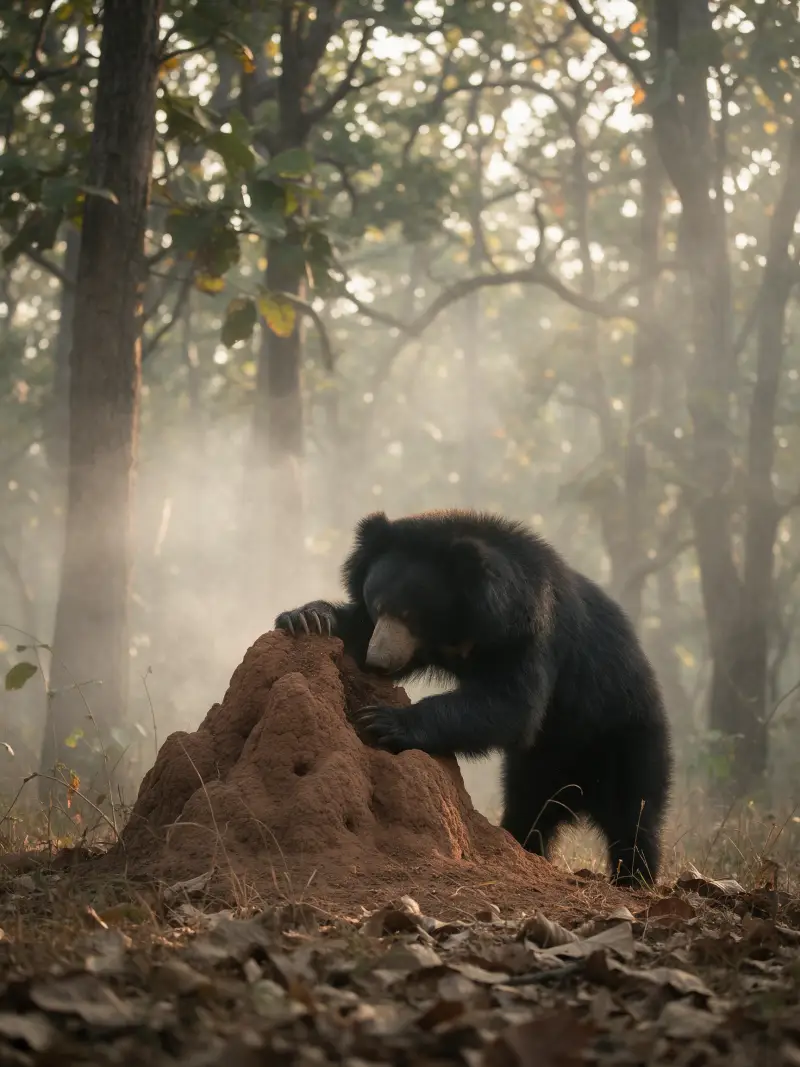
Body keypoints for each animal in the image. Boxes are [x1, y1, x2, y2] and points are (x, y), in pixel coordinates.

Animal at [275, 509, 672, 887]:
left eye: (410, 614)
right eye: (377, 605)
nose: (378, 662)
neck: (462, 622)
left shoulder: (528, 630)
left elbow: (510, 703)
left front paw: (384, 720)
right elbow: (354, 629)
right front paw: (306, 619)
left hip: (620, 732)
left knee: (632, 812)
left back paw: (633, 877)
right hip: (539, 762)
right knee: (532, 804)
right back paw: (524, 844)